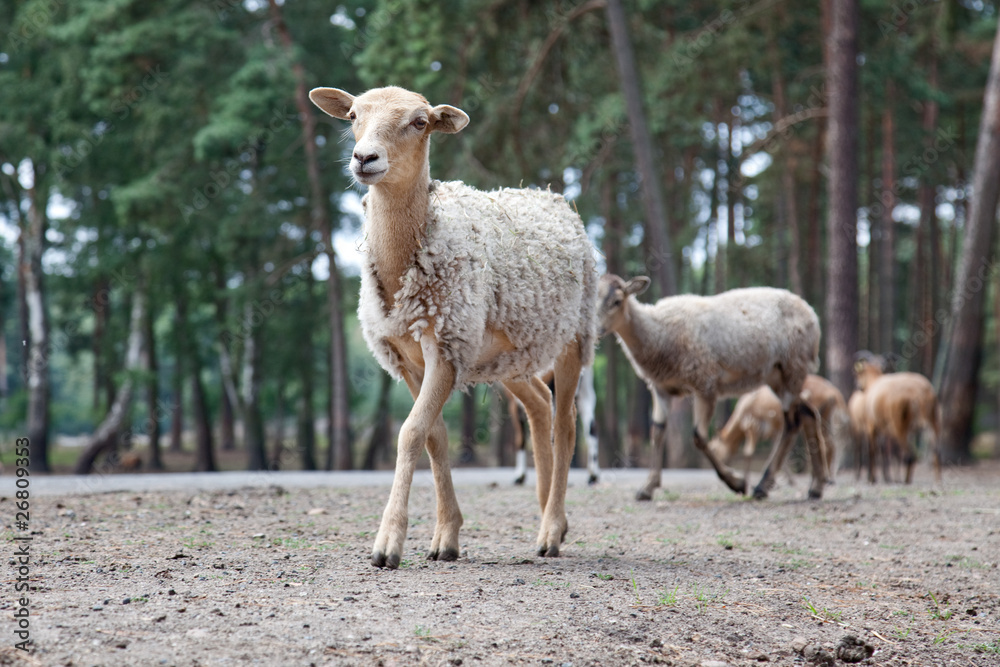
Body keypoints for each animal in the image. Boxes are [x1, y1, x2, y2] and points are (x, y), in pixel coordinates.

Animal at [309, 85, 598, 567]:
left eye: (419, 121)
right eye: (352, 115)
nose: (364, 158)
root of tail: (553, 197)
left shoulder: (445, 344)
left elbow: (409, 434)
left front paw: (388, 543)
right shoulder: (407, 358)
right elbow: (434, 438)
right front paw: (446, 537)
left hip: (575, 334)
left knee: (567, 423)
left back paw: (552, 530)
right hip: (510, 353)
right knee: (539, 405)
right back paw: (546, 515)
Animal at [597, 274, 826, 500]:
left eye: (617, 301)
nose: (596, 329)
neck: (658, 332)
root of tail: (812, 313)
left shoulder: (705, 382)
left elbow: (698, 436)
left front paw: (737, 483)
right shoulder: (660, 387)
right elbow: (657, 431)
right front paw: (647, 488)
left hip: (793, 366)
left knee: (793, 422)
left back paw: (763, 486)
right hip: (778, 376)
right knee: (807, 414)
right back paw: (814, 487)